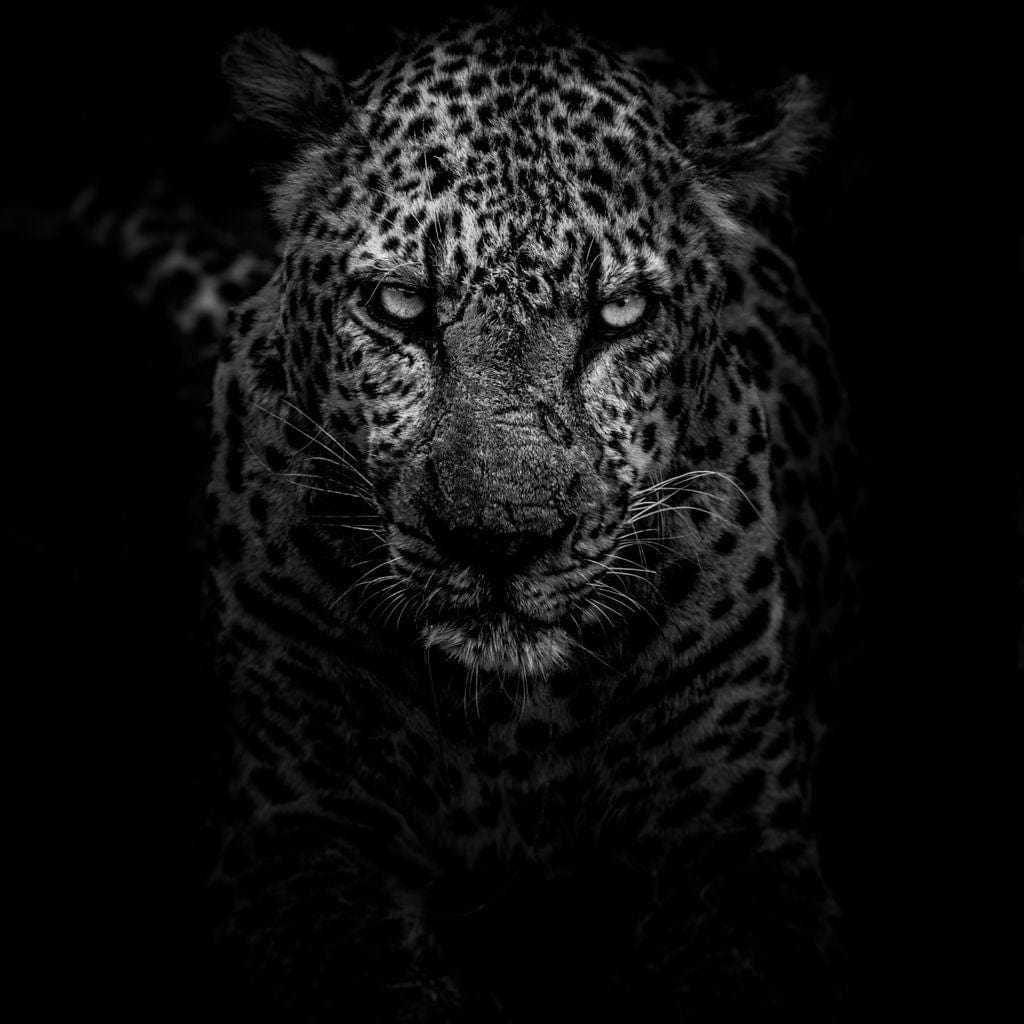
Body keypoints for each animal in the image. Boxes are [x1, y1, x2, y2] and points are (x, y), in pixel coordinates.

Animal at [160, 10, 863, 1022]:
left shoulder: (744, 857)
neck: (509, 725)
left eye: (620, 313)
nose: (501, 541)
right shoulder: (293, 839)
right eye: (400, 305)